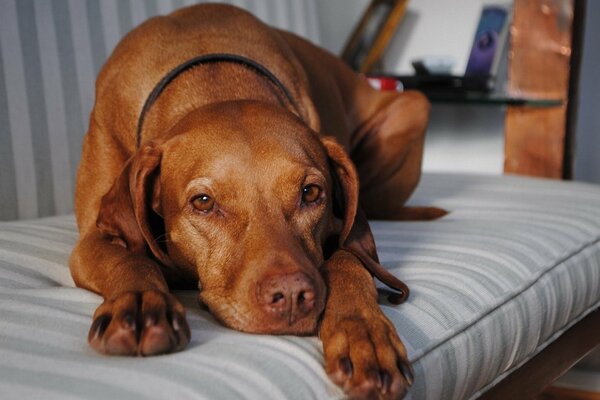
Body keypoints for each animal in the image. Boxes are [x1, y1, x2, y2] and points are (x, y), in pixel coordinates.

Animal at [70, 3, 442, 400]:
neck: (214, 78)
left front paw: (363, 332)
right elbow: (130, 259)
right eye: (203, 202)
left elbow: (348, 261)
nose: (292, 295)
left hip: (415, 104)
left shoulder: (340, 231)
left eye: (311, 193)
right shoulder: (92, 237)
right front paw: (141, 302)